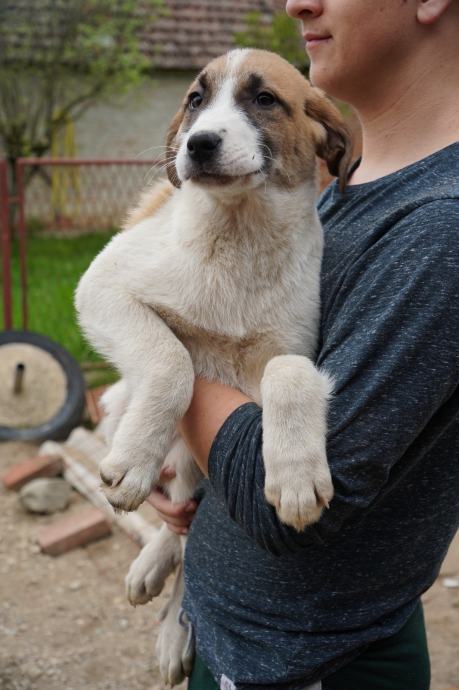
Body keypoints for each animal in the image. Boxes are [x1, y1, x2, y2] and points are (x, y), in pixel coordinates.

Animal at [75, 48, 351, 685]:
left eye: (264, 99)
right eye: (195, 101)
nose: (197, 144)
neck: (238, 234)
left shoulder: (286, 352)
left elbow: (288, 372)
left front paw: (296, 473)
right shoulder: (102, 287)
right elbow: (173, 359)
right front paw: (134, 462)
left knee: (191, 527)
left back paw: (172, 625)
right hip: (127, 409)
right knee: (179, 520)